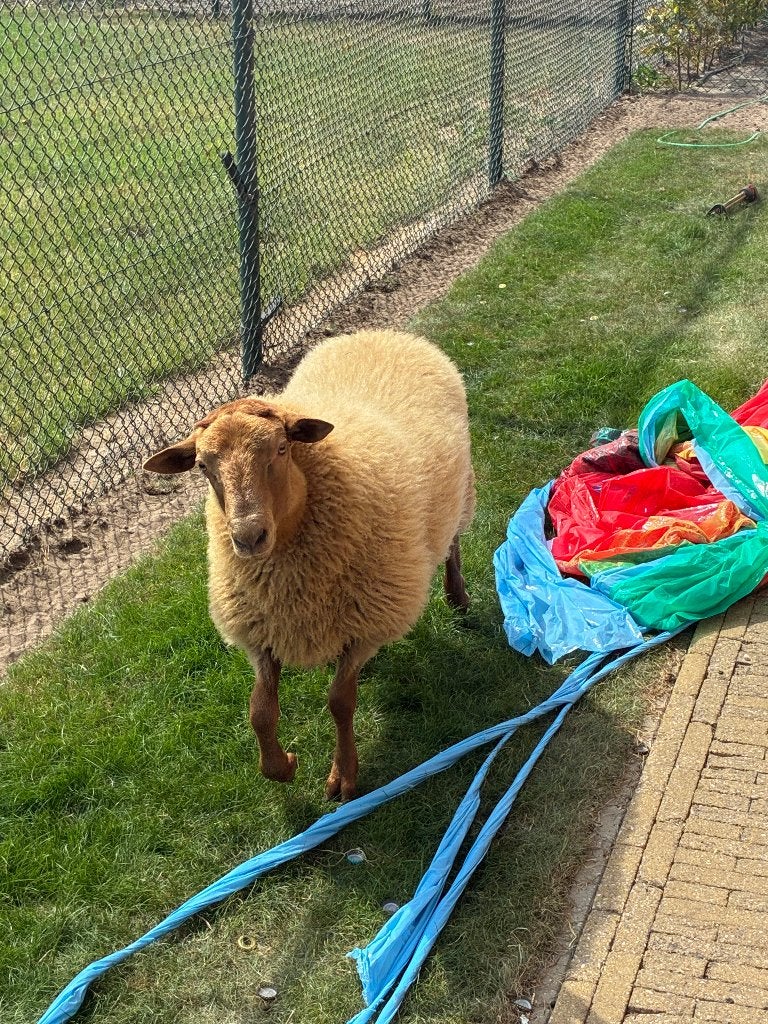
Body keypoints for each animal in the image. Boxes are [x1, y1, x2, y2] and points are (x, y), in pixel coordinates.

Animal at [144, 329, 475, 800]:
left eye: (282, 448)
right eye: (204, 467)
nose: (248, 537)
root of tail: (379, 333)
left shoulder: (365, 625)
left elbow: (340, 702)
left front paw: (344, 776)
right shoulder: (263, 630)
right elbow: (259, 711)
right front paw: (281, 766)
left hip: (460, 491)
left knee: (452, 543)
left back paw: (457, 594)